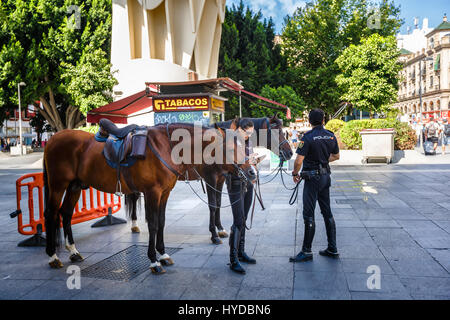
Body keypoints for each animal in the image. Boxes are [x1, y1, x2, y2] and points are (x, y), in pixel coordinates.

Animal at [44, 124, 260, 274]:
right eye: (231, 149)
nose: (252, 172)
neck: (167, 147)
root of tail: (53, 138)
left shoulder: (165, 193)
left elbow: (162, 222)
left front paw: (163, 254)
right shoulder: (153, 192)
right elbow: (154, 224)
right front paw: (154, 261)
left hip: (75, 185)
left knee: (66, 213)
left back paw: (73, 251)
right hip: (58, 184)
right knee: (51, 214)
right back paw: (53, 256)